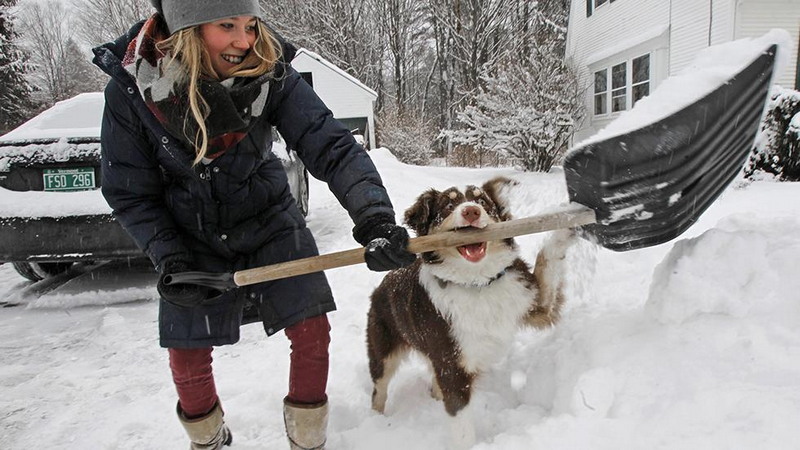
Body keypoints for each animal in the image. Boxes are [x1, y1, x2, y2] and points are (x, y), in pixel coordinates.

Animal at [366, 176, 580, 446]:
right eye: (448, 206)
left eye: (482, 202)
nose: (471, 211)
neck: (476, 283)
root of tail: (383, 283)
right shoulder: (452, 366)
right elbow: (462, 427)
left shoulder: (536, 302)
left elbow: (548, 258)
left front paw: (568, 220)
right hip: (382, 351)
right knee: (379, 389)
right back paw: (376, 421)